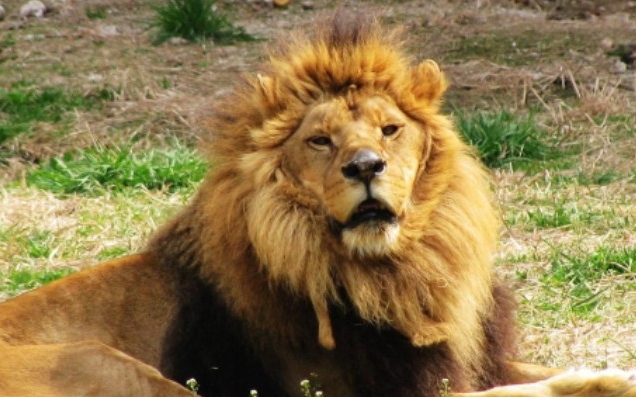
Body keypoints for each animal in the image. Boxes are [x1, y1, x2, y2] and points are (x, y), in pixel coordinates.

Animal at [1, 10, 636, 396]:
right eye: (321, 140)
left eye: (389, 130)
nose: (366, 167)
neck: (396, 271)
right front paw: (599, 380)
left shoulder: (467, 357)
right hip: (112, 366)